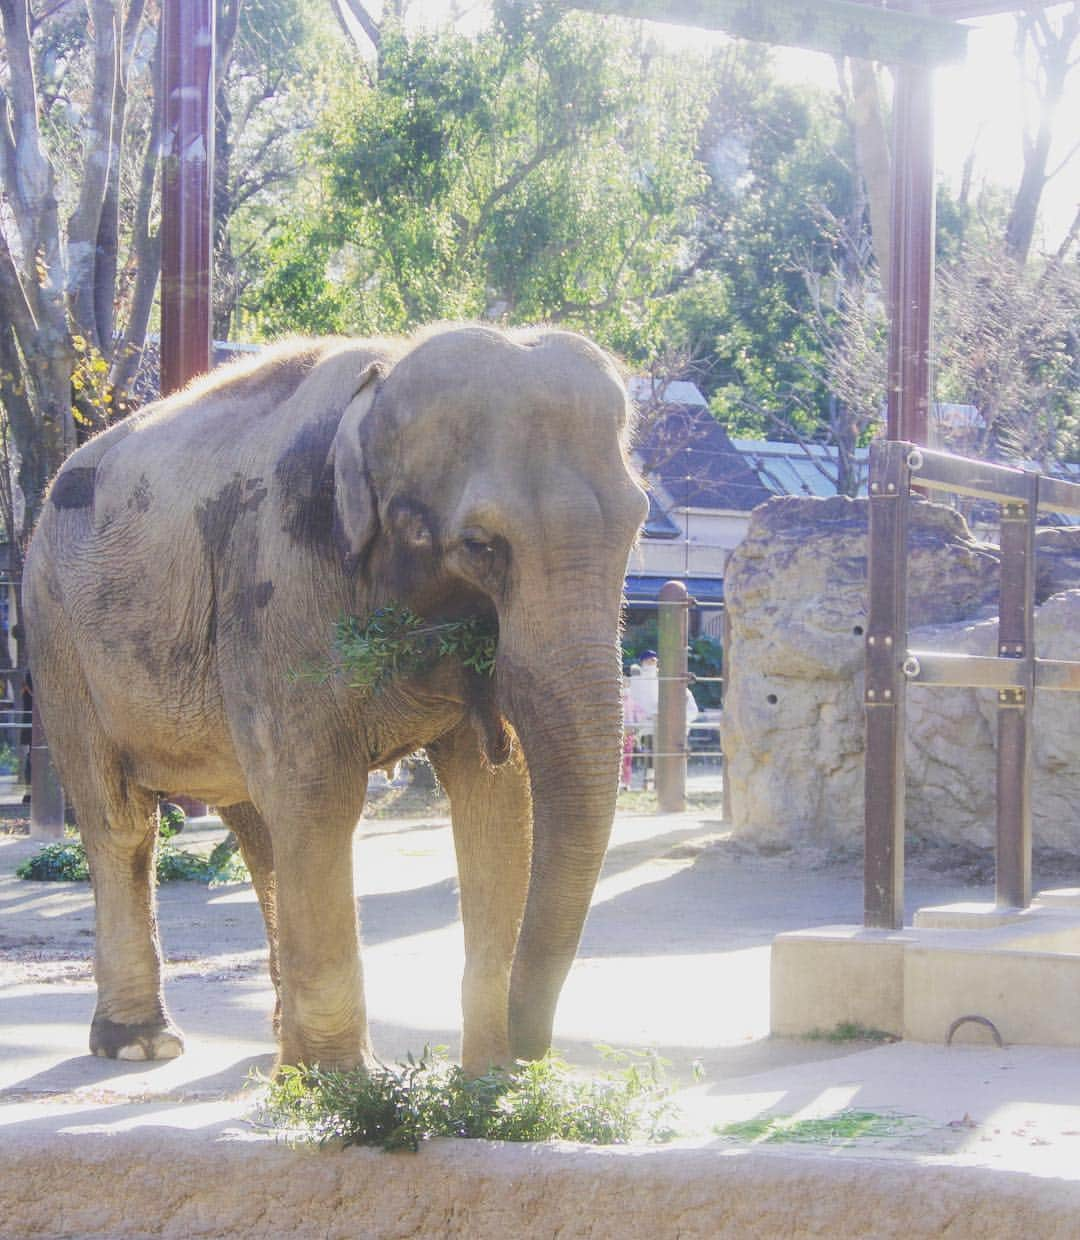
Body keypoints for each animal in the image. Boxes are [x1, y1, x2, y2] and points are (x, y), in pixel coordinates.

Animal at [23, 324, 649, 1071]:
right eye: (479, 545)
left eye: (638, 526)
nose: (531, 1057)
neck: (383, 377)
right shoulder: (281, 579)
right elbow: (321, 793)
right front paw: (348, 1081)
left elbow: (496, 798)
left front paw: (484, 1082)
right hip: (57, 635)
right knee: (121, 819)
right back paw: (143, 1045)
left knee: (259, 823)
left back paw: (276, 1053)